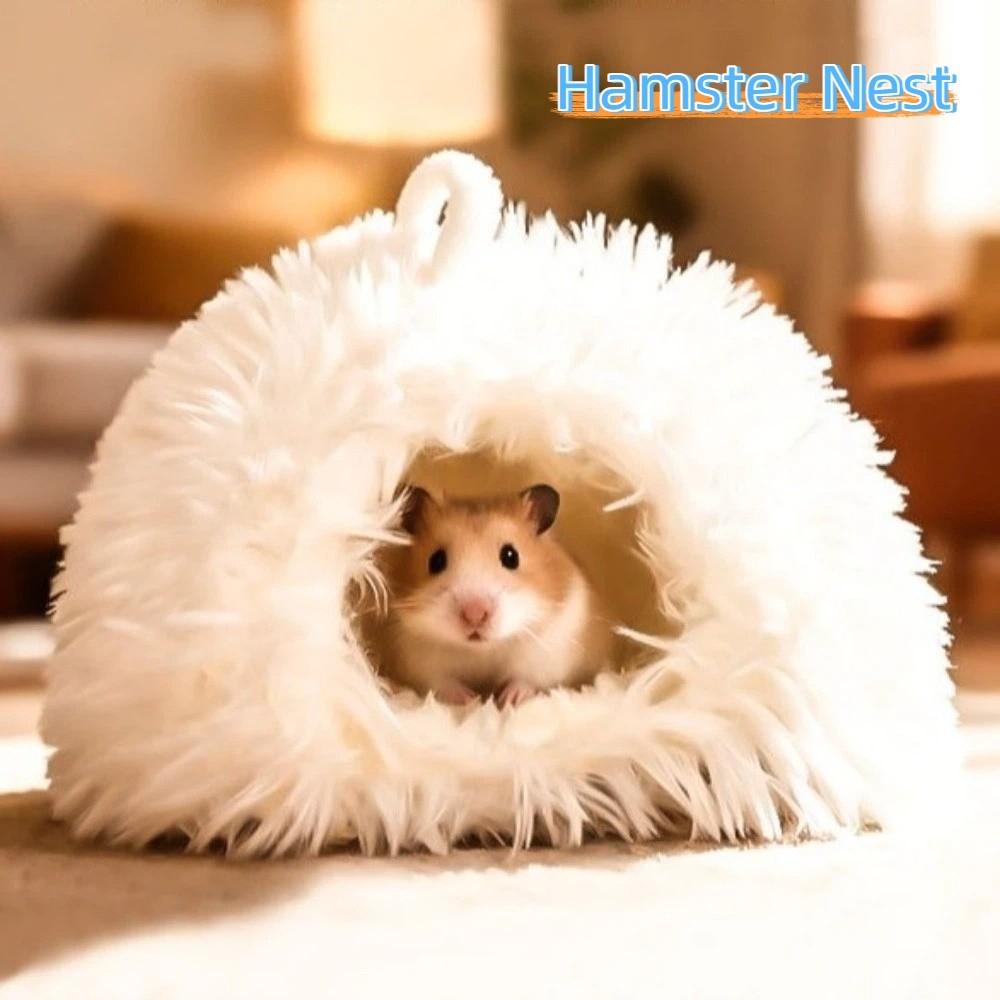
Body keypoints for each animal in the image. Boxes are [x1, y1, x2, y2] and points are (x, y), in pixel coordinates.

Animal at [381, 484, 611, 708]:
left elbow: (526, 679)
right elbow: (442, 683)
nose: (474, 615)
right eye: (436, 560)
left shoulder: (548, 654)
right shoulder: (419, 662)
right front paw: (468, 699)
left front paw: (510, 698)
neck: (482, 650)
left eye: (511, 556)